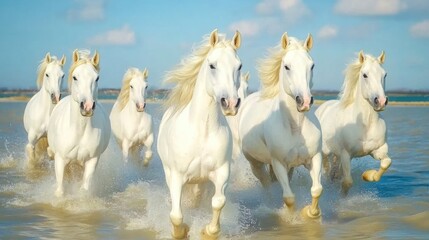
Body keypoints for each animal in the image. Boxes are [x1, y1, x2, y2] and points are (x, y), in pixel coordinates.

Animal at [47, 49, 110, 197]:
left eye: (97, 78)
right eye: (75, 77)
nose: (87, 106)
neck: (79, 131)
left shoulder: (92, 161)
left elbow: (84, 189)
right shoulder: (60, 160)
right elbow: (60, 190)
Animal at [157, 29, 242, 239]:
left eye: (239, 66)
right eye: (212, 65)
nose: (230, 103)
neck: (202, 132)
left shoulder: (221, 173)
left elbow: (218, 202)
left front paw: (207, 231)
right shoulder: (177, 176)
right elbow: (177, 215)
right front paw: (183, 231)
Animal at [237, 32, 320, 218]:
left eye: (312, 66)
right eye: (287, 66)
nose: (304, 101)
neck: (295, 128)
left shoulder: (314, 157)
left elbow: (317, 189)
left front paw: (311, 213)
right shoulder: (278, 164)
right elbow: (289, 198)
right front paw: (290, 217)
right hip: (256, 164)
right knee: (266, 184)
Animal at [312, 50, 390, 195]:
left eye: (384, 74)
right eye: (365, 75)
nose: (381, 101)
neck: (365, 125)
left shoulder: (378, 149)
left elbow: (386, 163)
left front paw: (368, 175)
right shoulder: (345, 155)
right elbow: (347, 182)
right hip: (326, 153)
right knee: (327, 171)